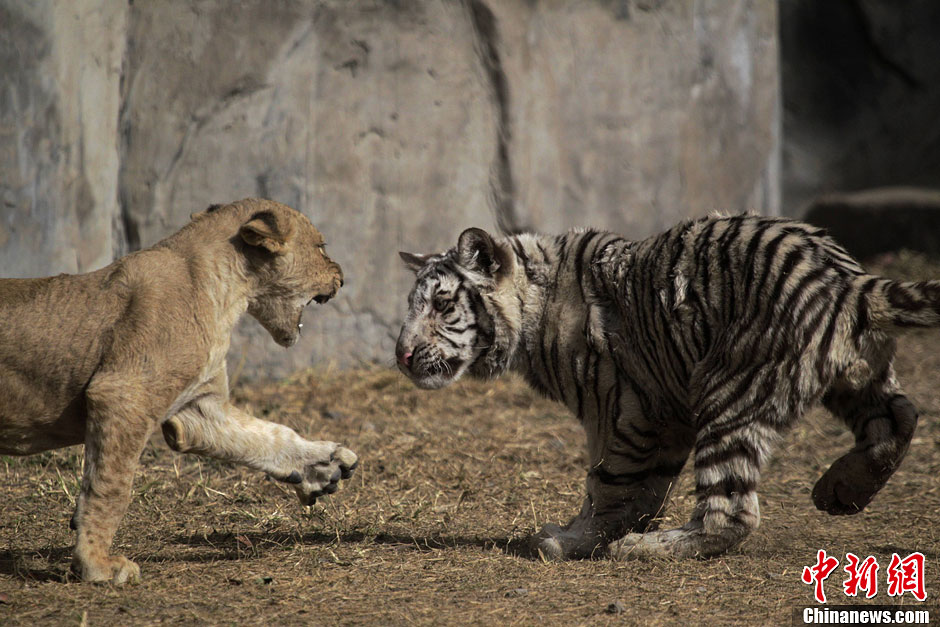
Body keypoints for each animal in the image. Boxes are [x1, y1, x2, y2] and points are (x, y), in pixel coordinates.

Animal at [394, 216, 924, 560]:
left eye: (442, 305)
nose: (401, 356)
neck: (533, 309)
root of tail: (849, 279)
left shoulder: (623, 410)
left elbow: (607, 485)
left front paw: (571, 541)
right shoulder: (662, 413)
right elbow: (641, 488)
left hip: (729, 392)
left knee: (731, 513)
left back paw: (646, 548)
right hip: (859, 377)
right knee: (901, 418)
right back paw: (842, 490)